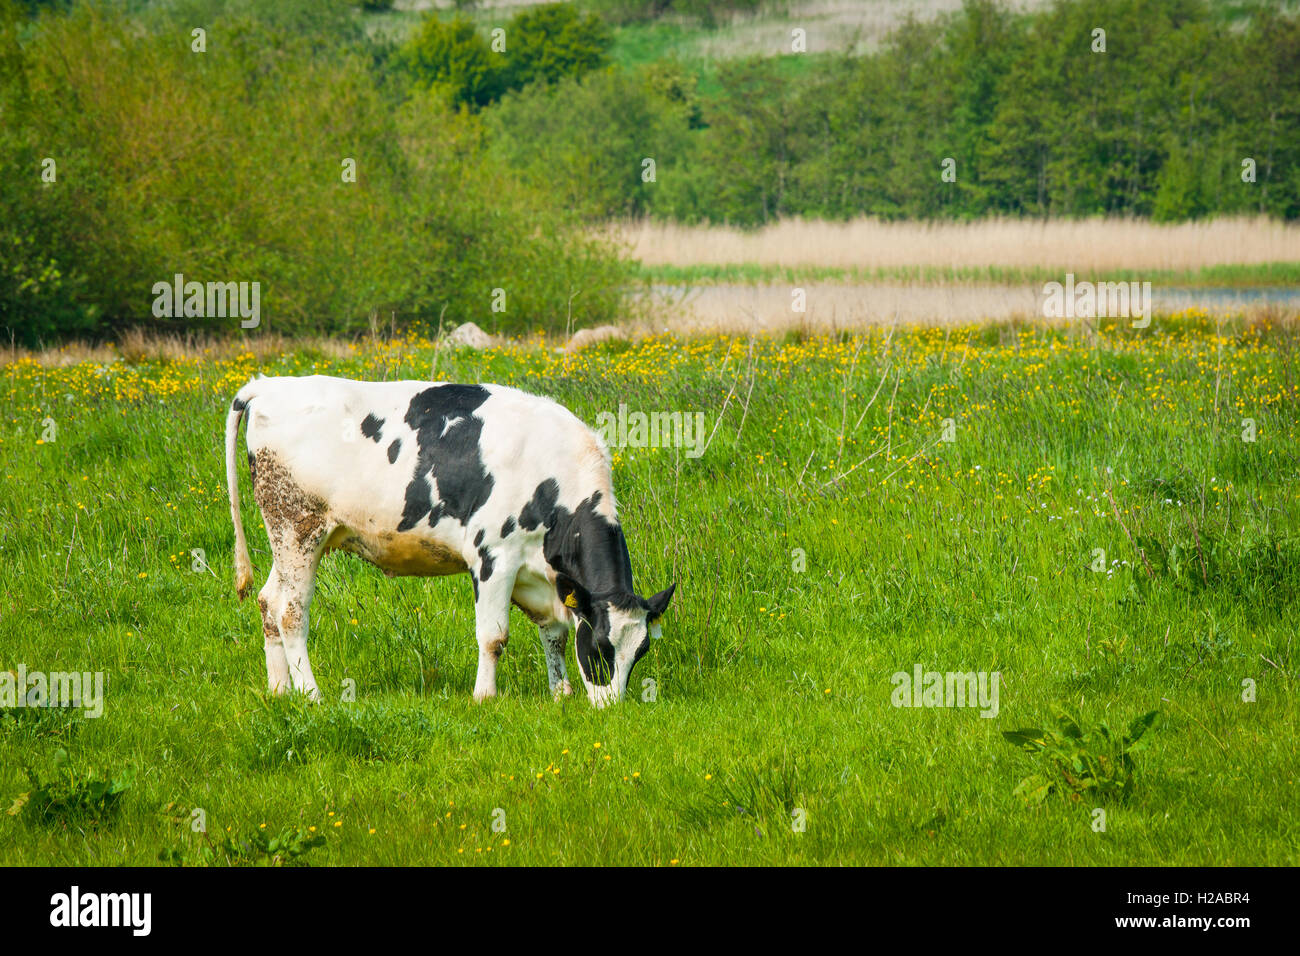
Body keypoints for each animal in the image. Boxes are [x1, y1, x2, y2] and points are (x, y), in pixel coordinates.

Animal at [224, 375, 675, 708]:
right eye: (599, 647)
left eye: (640, 652)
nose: (610, 709)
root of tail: (270, 384)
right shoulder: (493, 556)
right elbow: (494, 636)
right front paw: (485, 697)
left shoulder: (541, 575)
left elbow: (554, 632)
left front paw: (559, 693)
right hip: (298, 527)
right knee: (290, 612)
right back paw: (310, 694)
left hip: (292, 540)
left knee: (267, 600)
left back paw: (280, 690)